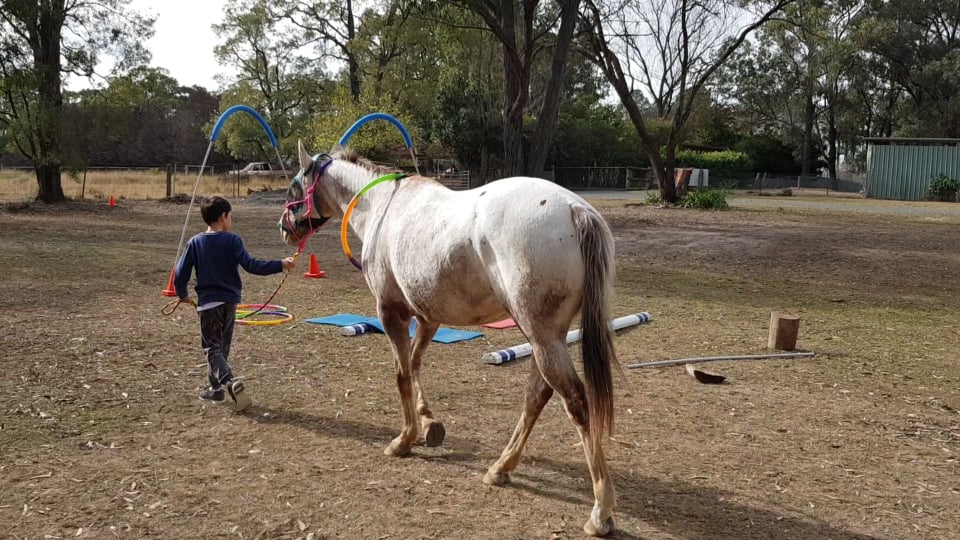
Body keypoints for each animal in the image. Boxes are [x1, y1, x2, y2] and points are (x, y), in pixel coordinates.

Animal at [278, 140, 624, 536]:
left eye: (294, 186)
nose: (284, 228)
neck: (382, 206)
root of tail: (575, 209)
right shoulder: (427, 318)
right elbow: (414, 365)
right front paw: (429, 423)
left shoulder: (391, 312)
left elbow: (401, 374)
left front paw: (404, 439)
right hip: (546, 338)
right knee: (537, 395)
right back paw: (501, 468)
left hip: (542, 337)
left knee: (575, 401)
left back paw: (600, 511)